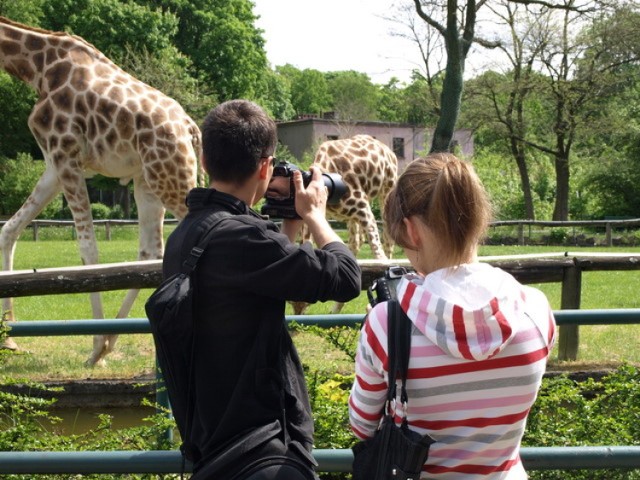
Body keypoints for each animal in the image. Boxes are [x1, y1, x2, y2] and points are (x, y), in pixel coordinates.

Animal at [0, 16, 201, 366]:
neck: (37, 66)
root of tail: (191, 129)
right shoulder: (53, 164)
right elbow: (10, 230)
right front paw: (9, 338)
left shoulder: (66, 156)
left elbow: (88, 250)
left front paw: (95, 343)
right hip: (148, 180)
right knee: (152, 251)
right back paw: (114, 339)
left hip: (171, 179)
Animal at [292, 134, 398, 316]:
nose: (297, 315)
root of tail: (387, 149)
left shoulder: (363, 208)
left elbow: (377, 251)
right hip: (352, 218)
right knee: (356, 242)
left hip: (387, 189)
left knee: (387, 239)